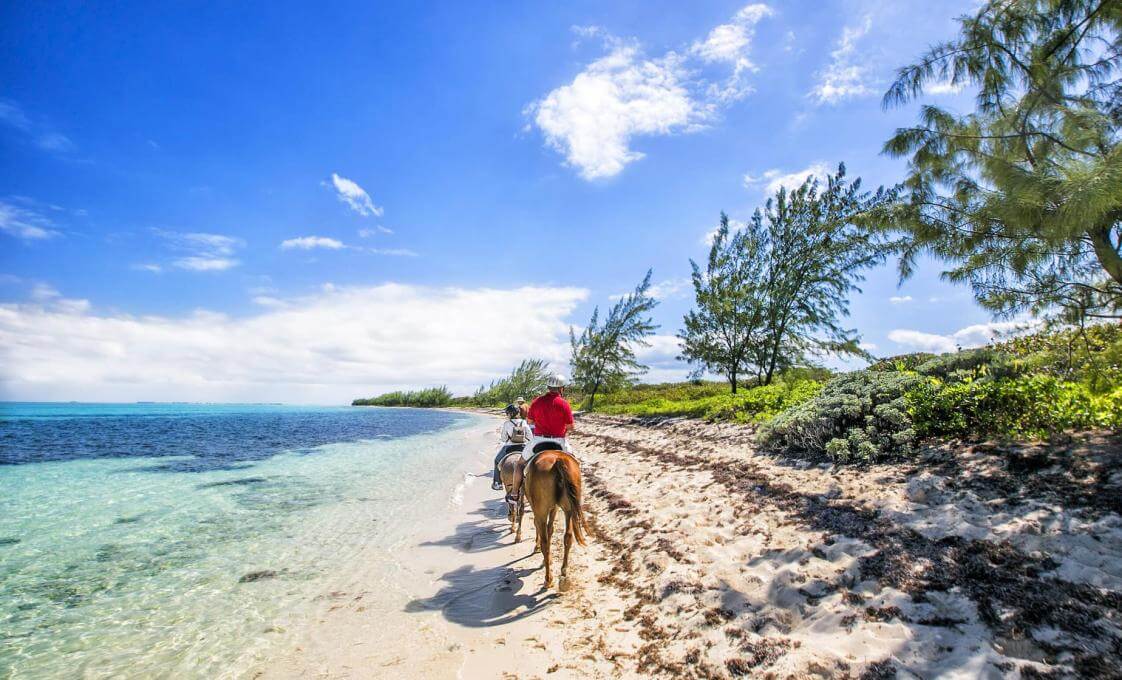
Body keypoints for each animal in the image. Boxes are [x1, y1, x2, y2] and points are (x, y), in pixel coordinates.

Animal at [520, 451, 587, 587]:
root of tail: (558, 459)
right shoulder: (554, 508)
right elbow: (550, 529)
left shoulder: (541, 510)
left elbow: (541, 528)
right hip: (569, 509)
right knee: (568, 537)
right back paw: (564, 571)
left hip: (541, 510)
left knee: (545, 541)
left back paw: (548, 578)